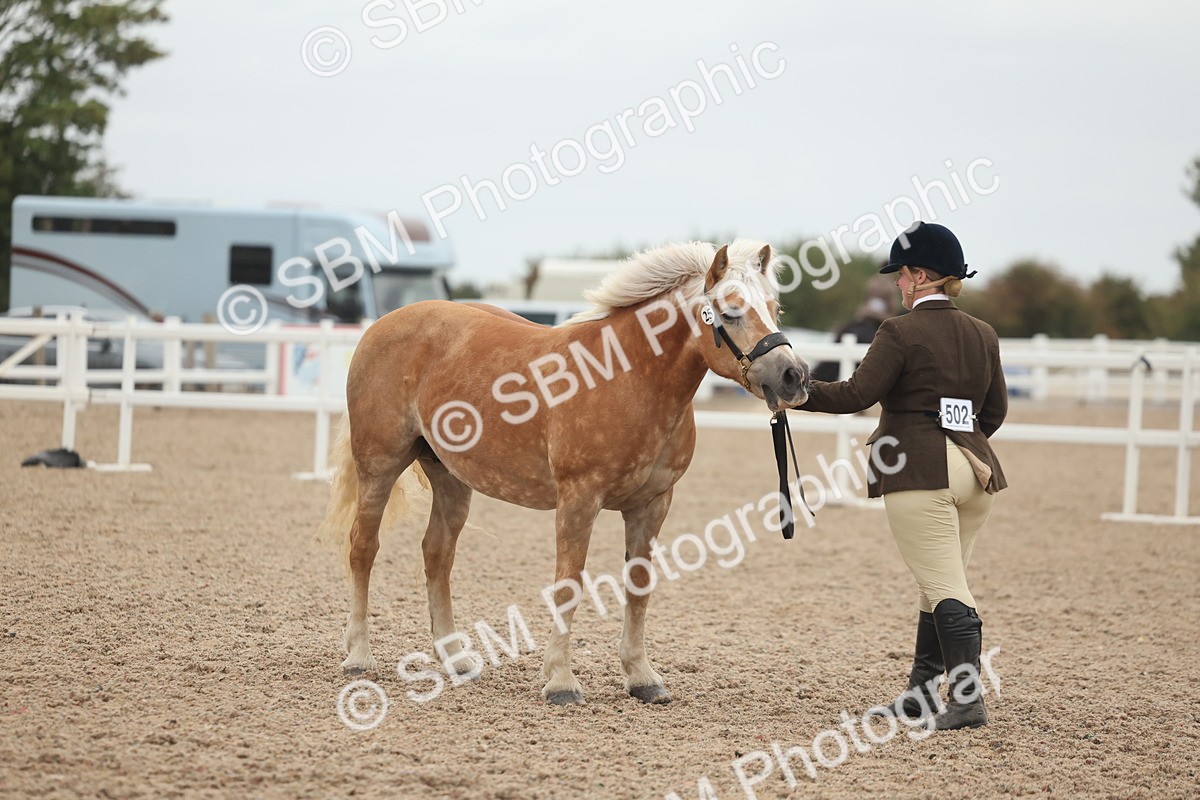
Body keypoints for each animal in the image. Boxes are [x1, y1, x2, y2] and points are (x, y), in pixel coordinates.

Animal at [317, 239, 811, 705]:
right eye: (731, 311)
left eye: (774, 308)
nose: (794, 376)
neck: (629, 378)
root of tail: (381, 326)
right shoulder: (579, 498)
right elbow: (569, 583)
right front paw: (560, 681)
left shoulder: (652, 505)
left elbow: (639, 585)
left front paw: (642, 677)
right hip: (379, 464)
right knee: (362, 547)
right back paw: (358, 655)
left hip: (451, 478)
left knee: (437, 554)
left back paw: (456, 659)